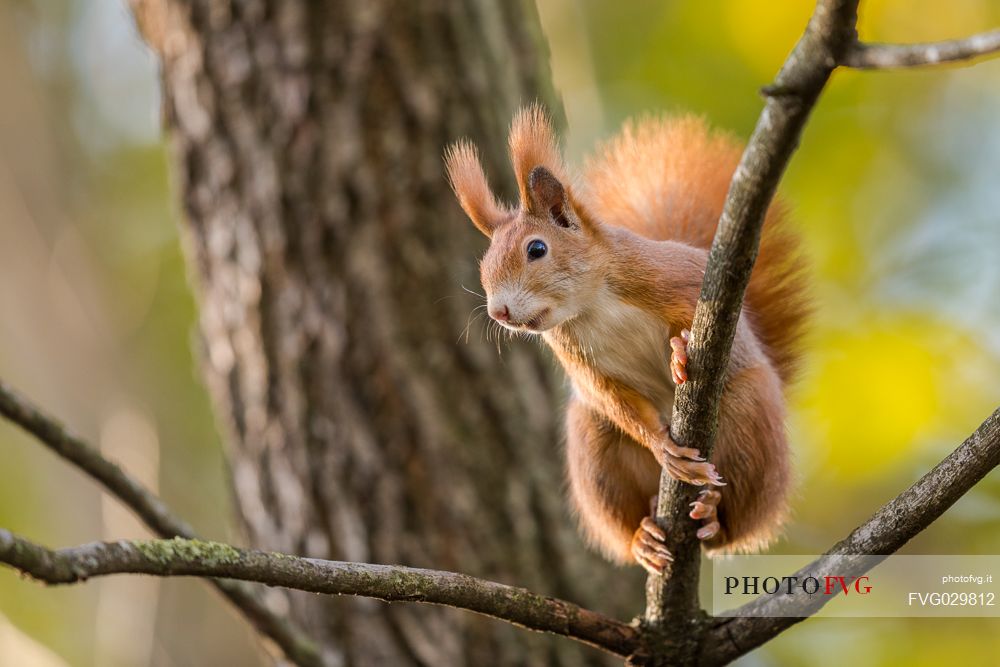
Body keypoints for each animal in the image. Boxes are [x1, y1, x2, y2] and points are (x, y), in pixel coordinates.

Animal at [450, 104, 808, 576]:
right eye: (485, 262)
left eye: (537, 249)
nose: (499, 312)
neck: (589, 305)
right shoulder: (579, 361)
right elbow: (614, 398)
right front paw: (662, 447)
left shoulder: (677, 277)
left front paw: (679, 353)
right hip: (595, 452)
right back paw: (643, 537)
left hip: (751, 420)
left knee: (735, 522)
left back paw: (715, 516)